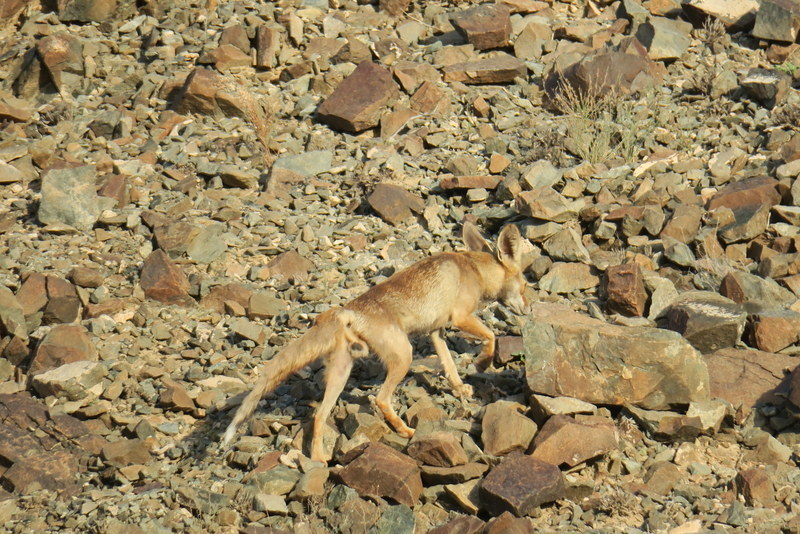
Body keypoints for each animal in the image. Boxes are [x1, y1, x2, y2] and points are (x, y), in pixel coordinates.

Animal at [221, 222, 530, 462]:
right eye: (526, 285)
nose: (528, 309)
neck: (474, 270)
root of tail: (346, 310)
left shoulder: (437, 331)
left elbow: (449, 365)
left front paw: (460, 387)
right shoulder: (460, 317)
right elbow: (491, 336)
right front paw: (484, 362)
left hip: (341, 373)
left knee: (319, 416)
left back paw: (319, 459)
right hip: (403, 355)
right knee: (380, 399)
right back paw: (404, 430)